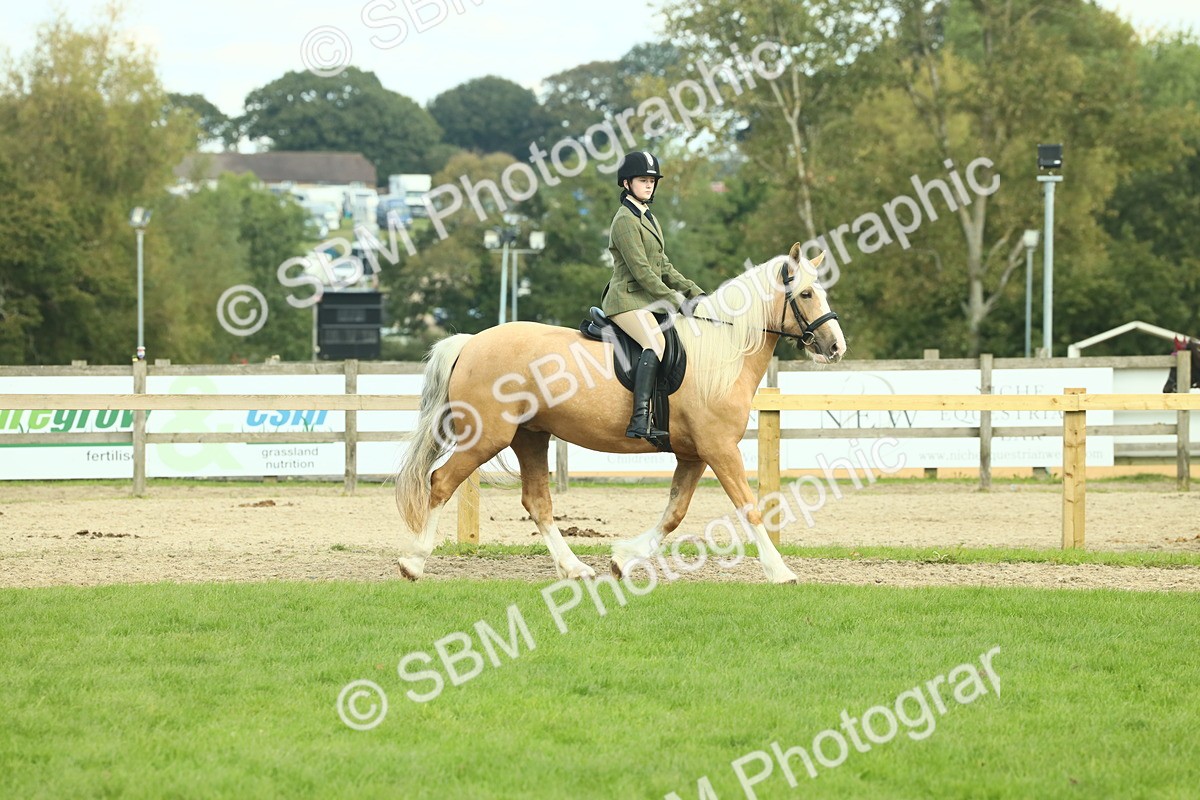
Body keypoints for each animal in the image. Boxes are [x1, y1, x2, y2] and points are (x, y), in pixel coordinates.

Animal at [393, 244, 846, 584]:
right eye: (807, 294)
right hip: (488, 436)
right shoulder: (720, 449)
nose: (836, 347)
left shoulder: (694, 454)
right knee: (440, 482)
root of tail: (470, 342)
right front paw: (780, 571)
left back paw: (575, 568)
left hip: (530, 436)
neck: (723, 352)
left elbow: (674, 514)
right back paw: (413, 563)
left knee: (537, 502)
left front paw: (623, 559)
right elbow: (749, 507)